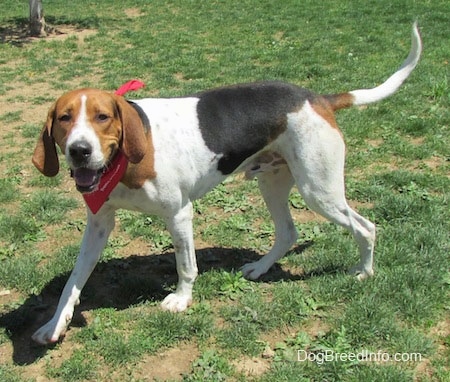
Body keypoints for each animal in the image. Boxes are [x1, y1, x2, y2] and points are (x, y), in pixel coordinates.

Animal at [31, 24, 422, 346]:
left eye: (102, 117)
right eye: (64, 119)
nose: (79, 151)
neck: (123, 160)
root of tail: (318, 98)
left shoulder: (180, 214)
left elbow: (186, 265)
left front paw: (182, 299)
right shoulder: (99, 224)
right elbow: (73, 283)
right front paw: (55, 324)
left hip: (318, 190)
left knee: (366, 227)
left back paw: (364, 272)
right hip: (273, 183)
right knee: (288, 233)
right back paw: (261, 268)